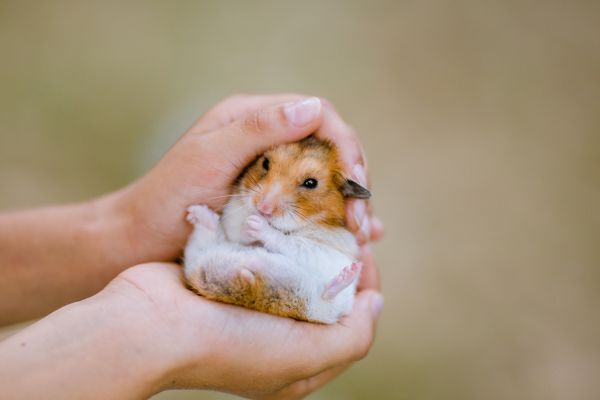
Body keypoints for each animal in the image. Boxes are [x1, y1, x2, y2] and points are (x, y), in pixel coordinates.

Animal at [183, 136, 370, 324]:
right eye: (265, 163)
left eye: (311, 183)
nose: (262, 208)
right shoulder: (232, 217)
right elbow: (238, 228)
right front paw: (249, 221)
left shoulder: (322, 248)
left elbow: (287, 240)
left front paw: (255, 223)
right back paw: (197, 213)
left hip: (328, 305)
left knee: (327, 296)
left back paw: (349, 273)